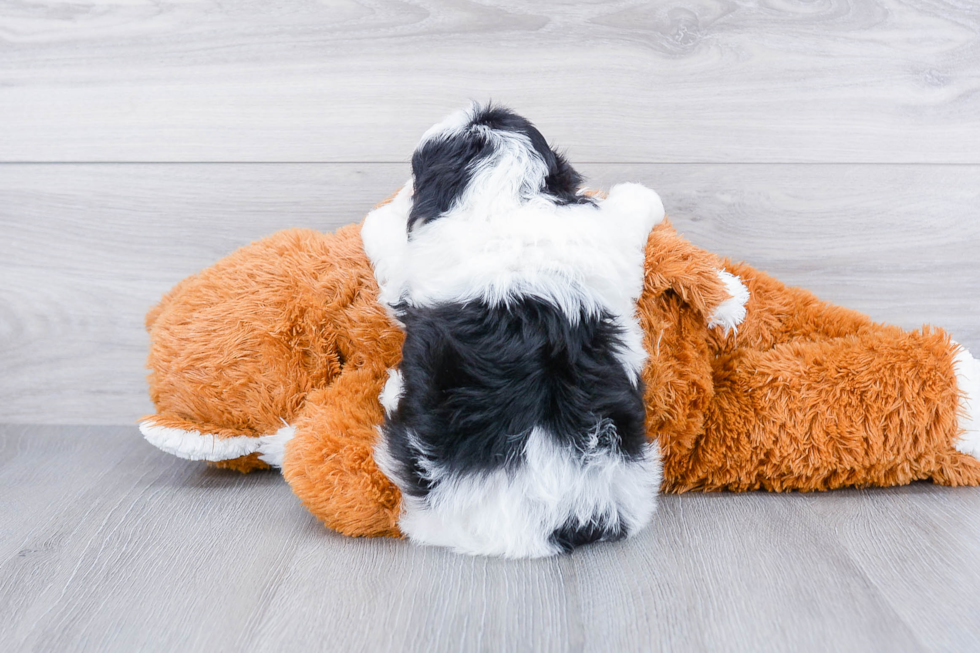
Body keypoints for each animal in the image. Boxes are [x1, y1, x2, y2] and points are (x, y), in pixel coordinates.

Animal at [360, 103, 668, 556]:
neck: (503, 195)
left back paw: (392, 388)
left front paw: (381, 215)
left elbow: (388, 241)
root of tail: (552, 525)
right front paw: (644, 197)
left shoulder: (411, 267)